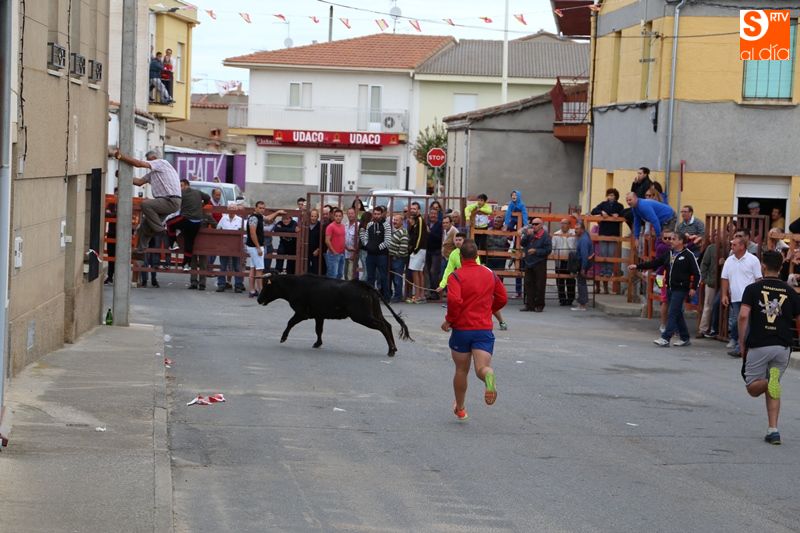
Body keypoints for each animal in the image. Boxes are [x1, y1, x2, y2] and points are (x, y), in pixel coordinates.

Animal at [257, 273, 412, 356]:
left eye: (267, 286)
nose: (258, 299)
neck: (295, 285)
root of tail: (364, 285)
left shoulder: (301, 313)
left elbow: (290, 322)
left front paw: (283, 338)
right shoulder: (319, 315)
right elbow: (318, 330)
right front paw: (318, 343)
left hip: (362, 316)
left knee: (382, 326)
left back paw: (391, 350)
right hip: (374, 312)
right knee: (387, 324)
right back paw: (394, 348)